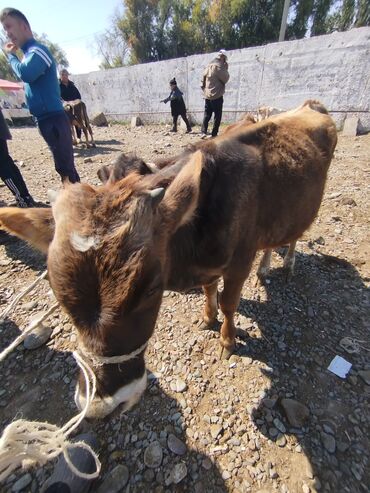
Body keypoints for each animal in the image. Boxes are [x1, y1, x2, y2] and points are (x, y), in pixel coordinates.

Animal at [0, 102, 336, 418]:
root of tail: (310, 105)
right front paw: (207, 317)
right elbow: (210, 290)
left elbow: (230, 304)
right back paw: (265, 267)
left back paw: (286, 264)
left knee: (294, 236)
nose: (99, 406)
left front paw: (227, 341)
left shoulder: (240, 261)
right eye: (59, 295)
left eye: (150, 290)